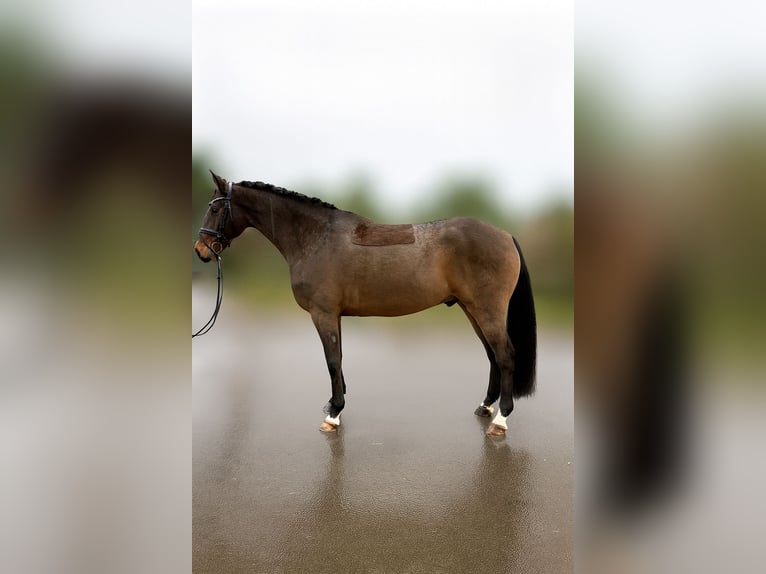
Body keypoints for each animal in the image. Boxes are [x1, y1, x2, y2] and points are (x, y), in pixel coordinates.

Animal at [193, 172, 537, 437]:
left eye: (215, 208)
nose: (201, 250)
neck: (315, 238)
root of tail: (505, 235)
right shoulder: (334, 315)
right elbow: (339, 359)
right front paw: (335, 405)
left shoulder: (323, 314)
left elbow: (332, 361)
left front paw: (332, 416)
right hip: (471, 309)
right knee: (492, 355)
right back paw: (486, 407)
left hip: (486, 309)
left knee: (505, 355)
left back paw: (500, 420)